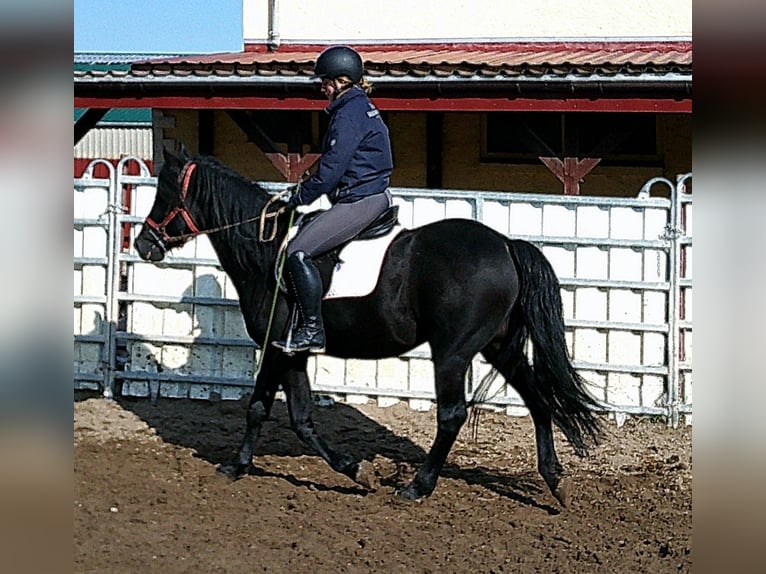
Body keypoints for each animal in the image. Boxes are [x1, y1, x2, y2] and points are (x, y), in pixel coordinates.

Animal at [134, 147, 602, 504]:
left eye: (165, 193)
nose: (142, 244)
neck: (268, 252)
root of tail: (505, 245)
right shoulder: (289, 352)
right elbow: (289, 415)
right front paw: (251, 465)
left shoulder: (277, 348)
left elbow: (267, 410)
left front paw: (345, 469)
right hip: (499, 347)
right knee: (537, 397)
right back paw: (554, 480)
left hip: (453, 353)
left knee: (452, 415)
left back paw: (418, 487)